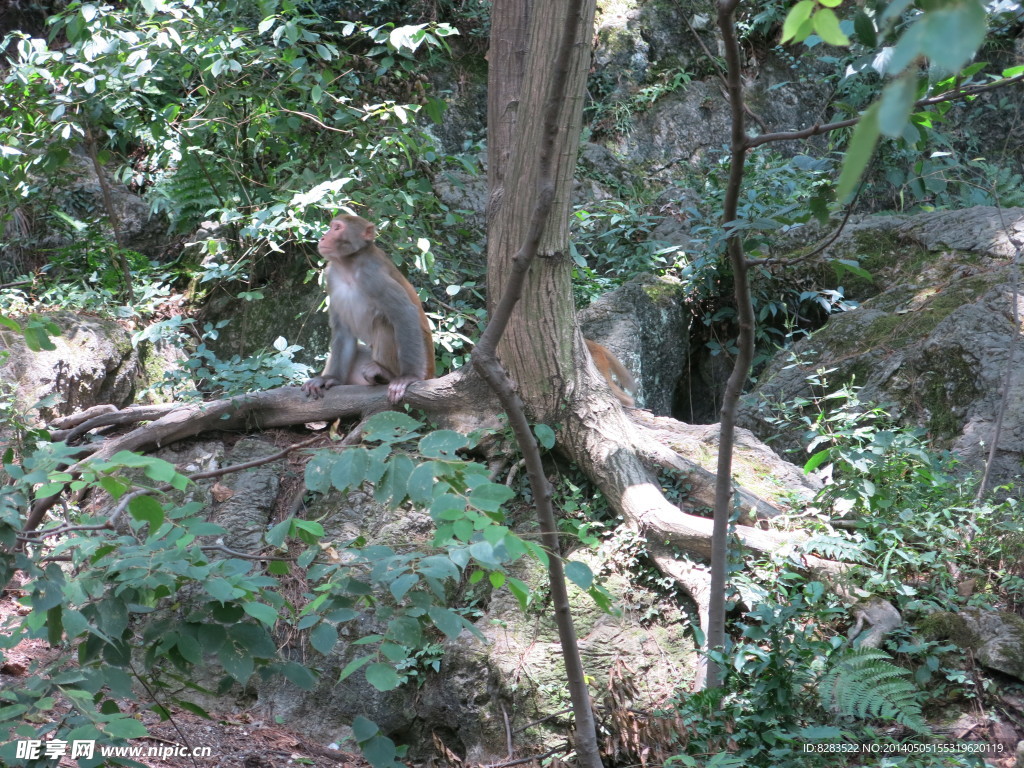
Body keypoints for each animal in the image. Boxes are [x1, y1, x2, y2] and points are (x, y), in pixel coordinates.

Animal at [301, 214, 434, 405]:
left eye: (337, 228)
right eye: (332, 226)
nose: (323, 238)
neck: (349, 265)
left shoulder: (373, 277)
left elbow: (405, 313)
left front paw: (409, 376)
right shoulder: (331, 277)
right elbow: (343, 330)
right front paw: (330, 378)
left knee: (384, 321)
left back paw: (386, 374)